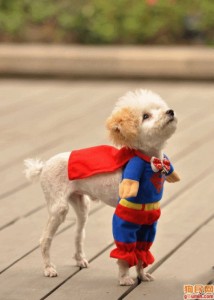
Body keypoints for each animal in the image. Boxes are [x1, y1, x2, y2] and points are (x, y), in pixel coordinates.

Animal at [24, 89, 180, 284]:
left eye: (159, 108)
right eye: (146, 116)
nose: (170, 112)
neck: (150, 162)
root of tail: (43, 166)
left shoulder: (147, 218)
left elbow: (141, 249)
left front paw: (142, 275)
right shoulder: (126, 215)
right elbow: (126, 249)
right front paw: (124, 277)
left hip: (81, 206)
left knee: (78, 234)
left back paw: (80, 259)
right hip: (58, 207)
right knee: (45, 239)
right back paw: (48, 268)